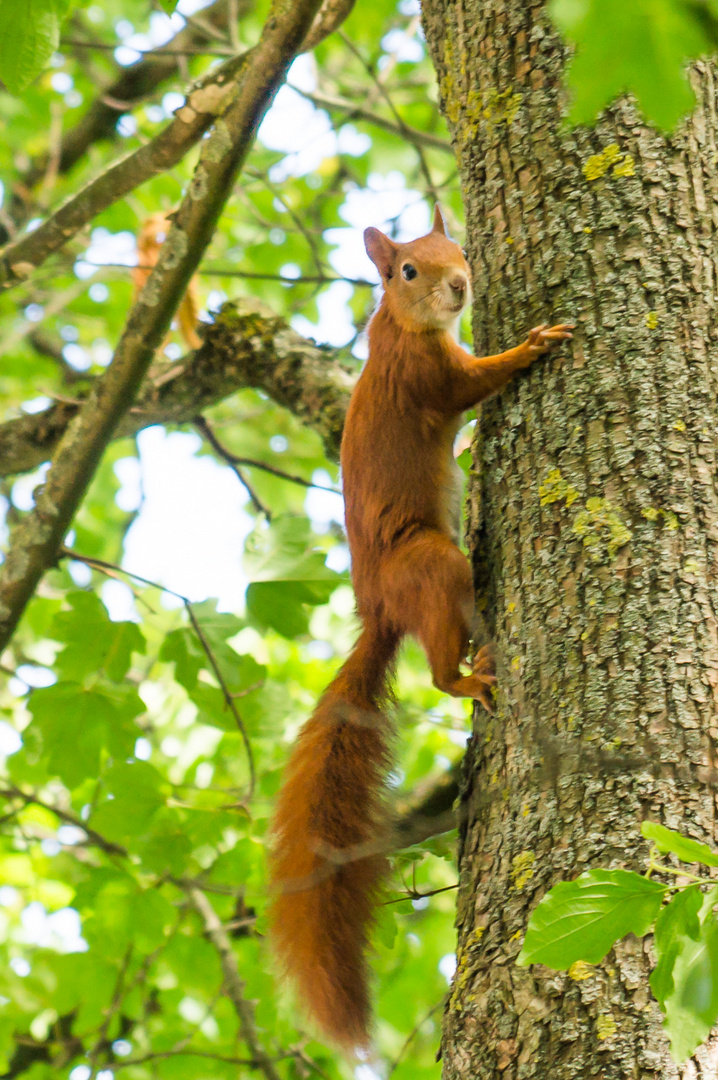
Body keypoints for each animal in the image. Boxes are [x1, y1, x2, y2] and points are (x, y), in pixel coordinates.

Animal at [267, 206, 570, 1049]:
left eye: (458, 247)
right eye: (407, 270)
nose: (461, 284)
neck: (399, 328)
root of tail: (379, 612)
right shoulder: (431, 377)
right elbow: (477, 380)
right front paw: (534, 343)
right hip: (433, 567)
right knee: (435, 672)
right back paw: (471, 676)